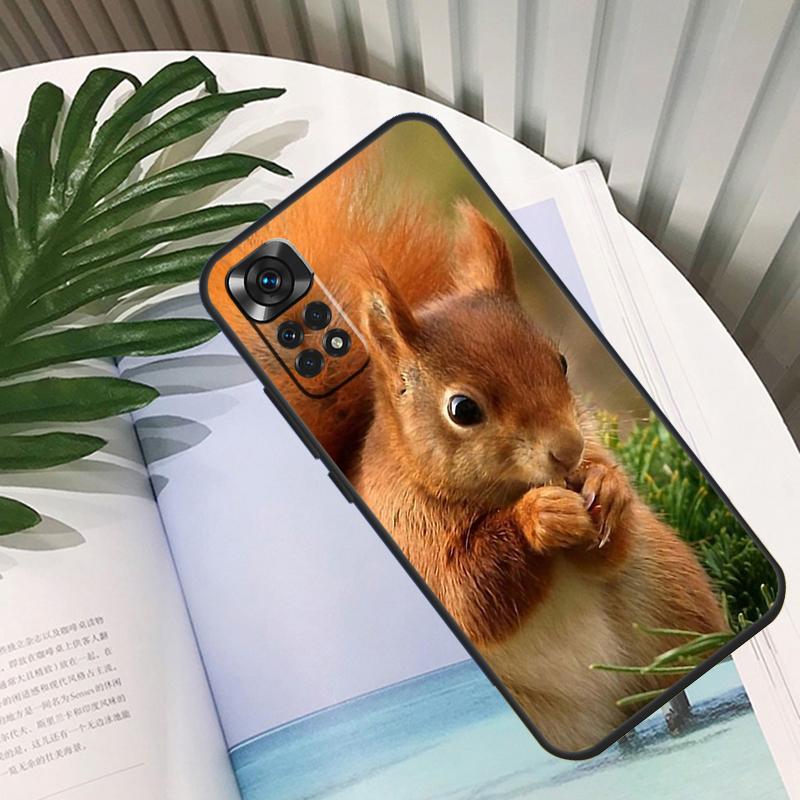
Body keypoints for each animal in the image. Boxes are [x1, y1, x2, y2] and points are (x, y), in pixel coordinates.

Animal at [263, 153, 727, 752]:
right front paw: (540, 517)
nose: (569, 450)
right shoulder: (408, 531)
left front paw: (608, 486)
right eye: (462, 409)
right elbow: (470, 595)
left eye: (560, 361)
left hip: (670, 595)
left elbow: (609, 549)